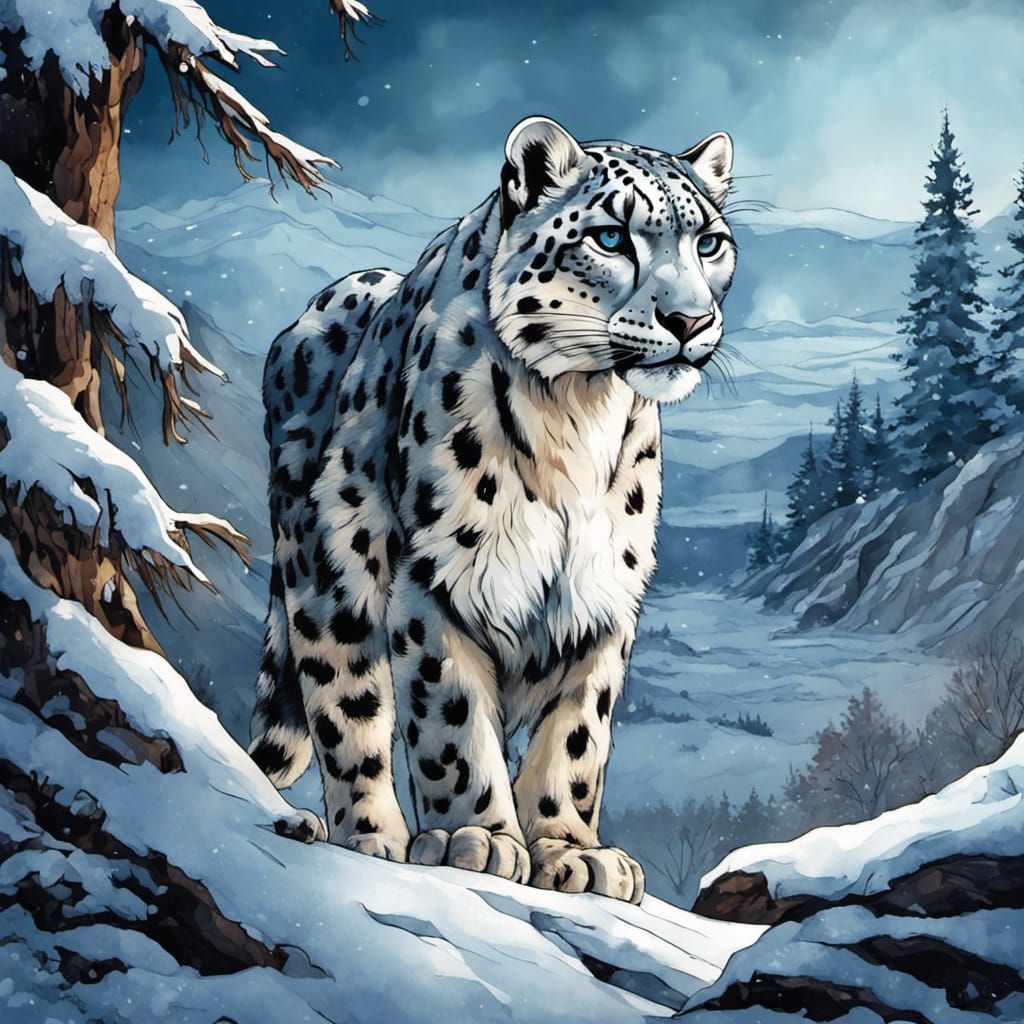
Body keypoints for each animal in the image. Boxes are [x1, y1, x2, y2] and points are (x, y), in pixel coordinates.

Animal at [249, 115, 736, 904]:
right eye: (610, 238)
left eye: (709, 243)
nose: (690, 319)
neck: (578, 414)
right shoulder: (437, 578)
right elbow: (451, 718)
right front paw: (474, 838)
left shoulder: (604, 596)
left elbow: (578, 735)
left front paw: (572, 852)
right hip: (326, 574)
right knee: (346, 700)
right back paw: (371, 834)